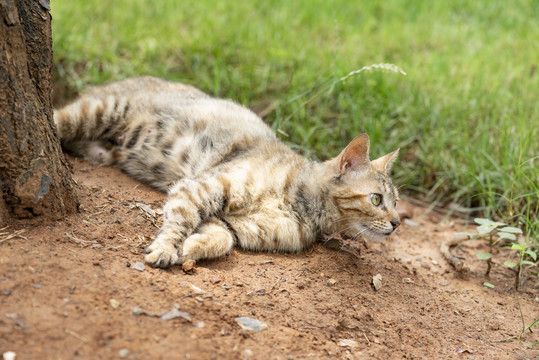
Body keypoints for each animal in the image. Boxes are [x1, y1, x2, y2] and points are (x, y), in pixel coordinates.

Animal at [54, 76, 400, 268]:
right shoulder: (200, 187)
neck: (304, 206)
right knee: (58, 117)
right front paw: (166, 248)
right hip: (101, 109)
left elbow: (222, 240)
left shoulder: (231, 223)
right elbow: (179, 221)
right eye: (376, 199)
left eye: (396, 202)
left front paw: (189, 249)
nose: (397, 223)